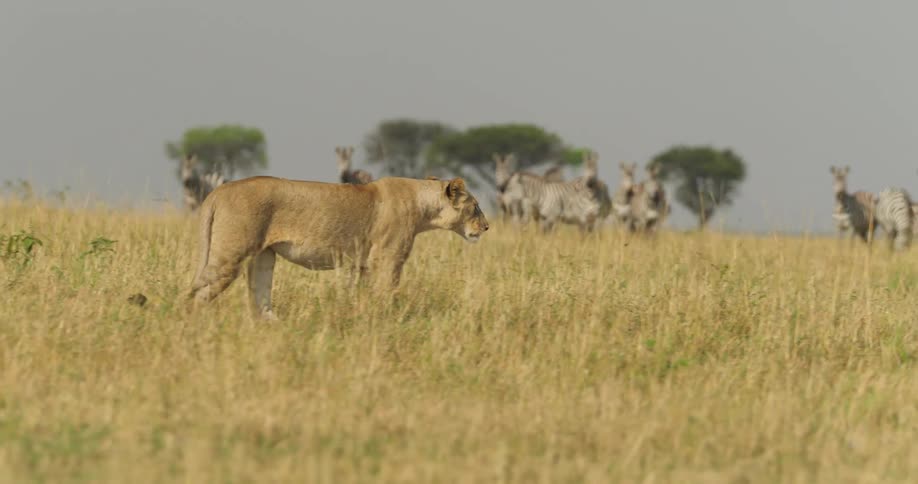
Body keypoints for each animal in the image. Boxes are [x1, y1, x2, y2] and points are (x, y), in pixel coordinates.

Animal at [188, 176, 489, 319]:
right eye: (475, 206)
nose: (486, 227)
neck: (423, 205)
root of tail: (219, 190)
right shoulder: (388, 259)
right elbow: (386, 294)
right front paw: (388, 321)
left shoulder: (360, 264)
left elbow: (358, 295)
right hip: (229, 256)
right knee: (196, 295)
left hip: (263, 257)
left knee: (260, 300)